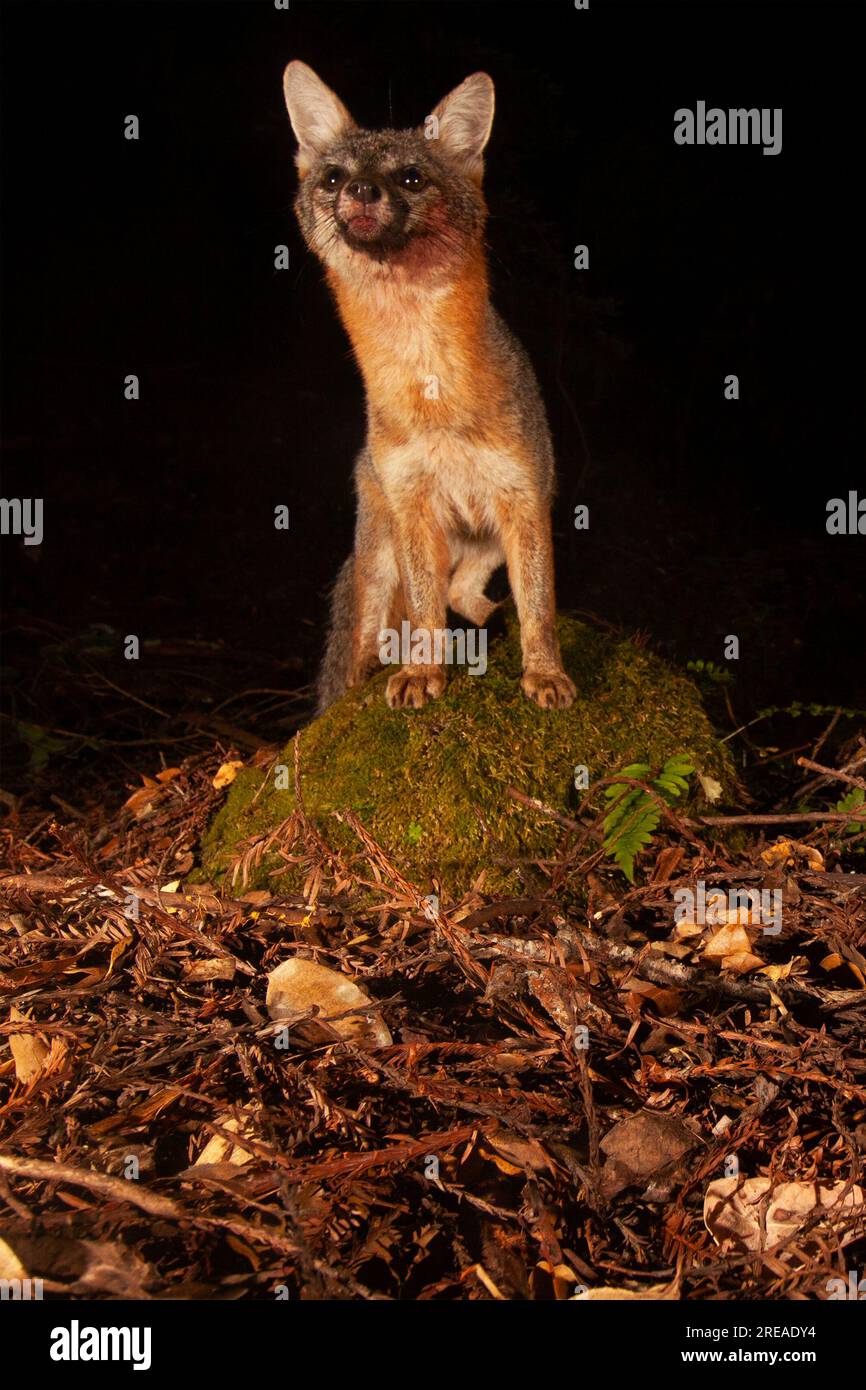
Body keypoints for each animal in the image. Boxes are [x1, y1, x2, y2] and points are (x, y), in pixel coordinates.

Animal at [282, 61, 576, 715]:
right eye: (335, 176)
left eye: (411, 178)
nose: (362, 191)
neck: (432, 390)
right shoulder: (411, 503)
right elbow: (422, 612)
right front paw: (422, 671)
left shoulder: (525, 496)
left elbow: (540, 605)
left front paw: (544, 673)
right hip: (382, 547)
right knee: (378, 630)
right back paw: (374, 669)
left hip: (486, 538)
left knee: (467, 594)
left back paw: (489, 618)